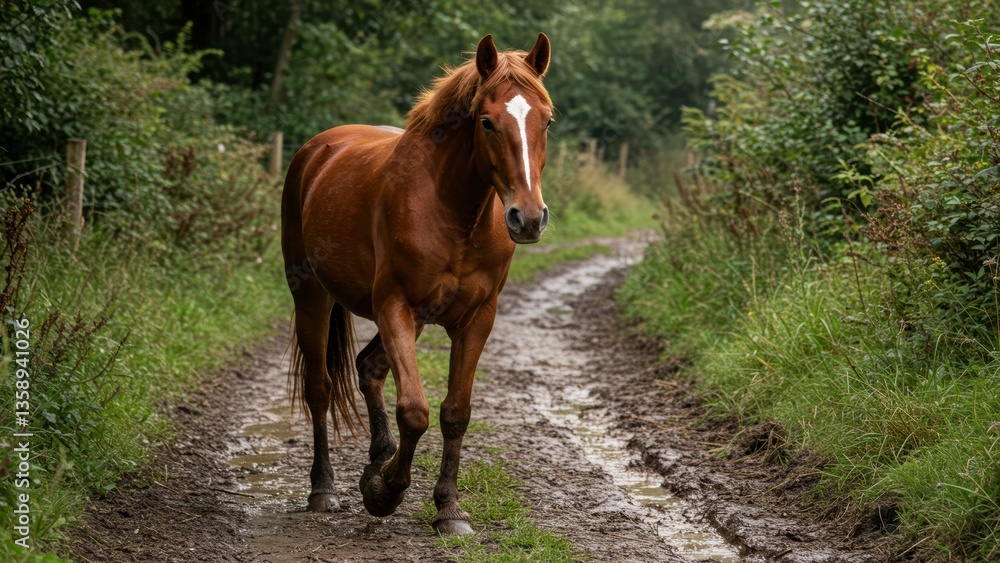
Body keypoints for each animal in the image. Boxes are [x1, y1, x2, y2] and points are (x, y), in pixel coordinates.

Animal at [281, 33, 553, 535]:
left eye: (546, 120)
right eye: (487, 122)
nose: (527, 218)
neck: (452, 210)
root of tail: (318, 149)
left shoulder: (476, 319)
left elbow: (455, 413)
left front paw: (448, 507)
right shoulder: (395, 307)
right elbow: (414, 410)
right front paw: (384, 492)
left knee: (369, 368)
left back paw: (377, 458)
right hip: (311, 298)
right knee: (320, 389)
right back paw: (324, 489)